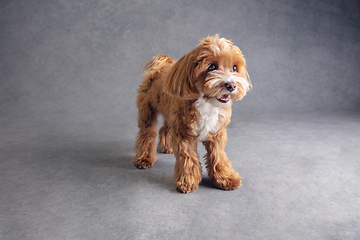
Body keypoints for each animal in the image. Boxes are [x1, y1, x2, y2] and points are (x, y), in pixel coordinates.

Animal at [131, 35, 250, 193]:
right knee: (147, 134)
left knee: (164, 129)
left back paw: (167, 147)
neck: (207, 101)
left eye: (234, 67)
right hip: (147, 110)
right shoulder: (184, 134)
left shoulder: (216, 133)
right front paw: (187, 181)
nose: (231, 85)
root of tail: (159, 68)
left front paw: (225, 178)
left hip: (170, 114)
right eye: (212, 67)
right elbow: (188, 158)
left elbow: (218, 156)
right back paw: (144, 158)